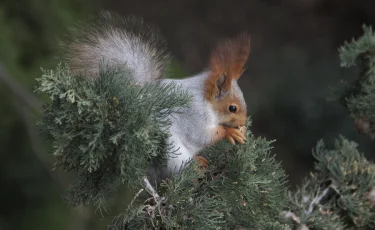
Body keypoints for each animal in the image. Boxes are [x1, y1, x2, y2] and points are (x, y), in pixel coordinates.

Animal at [60, 11, 251, 174]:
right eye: (232, 108)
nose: (243, 122)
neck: (205, 101)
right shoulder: (193, 115)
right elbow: (200, 135)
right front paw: (229, 132)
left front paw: (240, 130)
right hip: (173, 151)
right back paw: (195, 165)